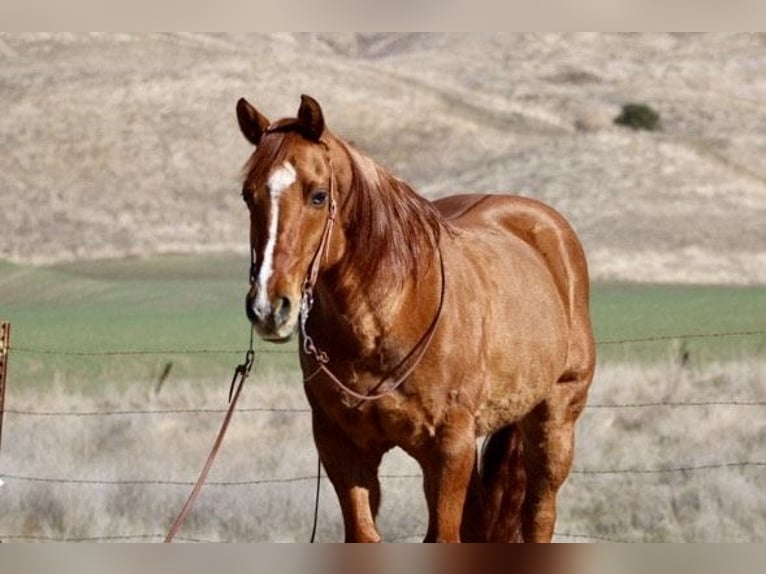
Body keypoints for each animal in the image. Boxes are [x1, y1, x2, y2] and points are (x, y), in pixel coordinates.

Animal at [237, 95, 596, 544]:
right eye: (247, 196)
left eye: (318, 196)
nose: (269, 307)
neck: (384, 323)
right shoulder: (343, 449)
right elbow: (365, 533)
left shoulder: (448, 450)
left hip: (555, 420)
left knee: (539, 515)